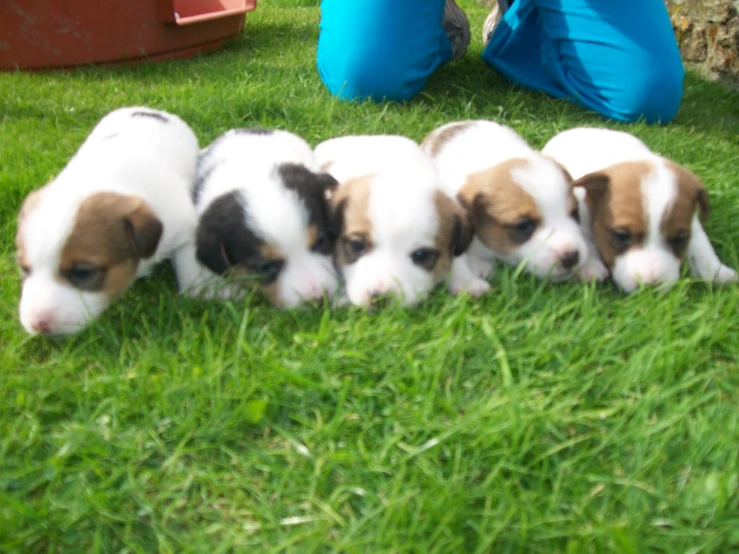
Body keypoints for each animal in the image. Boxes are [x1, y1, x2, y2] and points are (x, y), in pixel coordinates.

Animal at [422, 118, 608, 296]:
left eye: (574, 213)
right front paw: (468, 284)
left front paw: (590, 264)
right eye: (524, 226)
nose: (572, 257)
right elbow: (456, 259)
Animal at [540, 126, 736, 292]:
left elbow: (701, 244)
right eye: (621, 235)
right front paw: (589, 266)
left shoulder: (693, 223)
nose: (650, 286)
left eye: (679, 239)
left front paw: (717, 272)